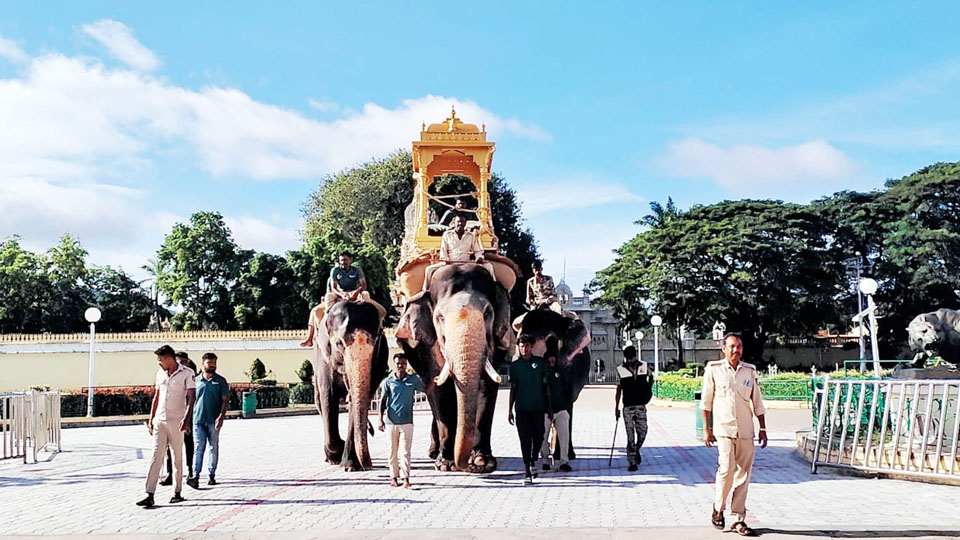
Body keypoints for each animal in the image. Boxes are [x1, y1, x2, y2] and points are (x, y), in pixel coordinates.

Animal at [316, 298, 390, 470]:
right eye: (339, 343)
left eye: (376, 343)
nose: (368, 465)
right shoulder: (324, 359)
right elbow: (328, 397)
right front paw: (335, 456)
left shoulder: (378, 362)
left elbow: (358, 403)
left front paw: (351, 466)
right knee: (319, 402)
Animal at [396, 264, 516, 472]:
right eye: (440, 317)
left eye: (487, 313)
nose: (466, 466)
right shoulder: (430, 344)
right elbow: (440, 388)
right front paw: (446, 464)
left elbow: (486, 387)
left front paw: (481, 462)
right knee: (431, 395)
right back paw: (434, 453)